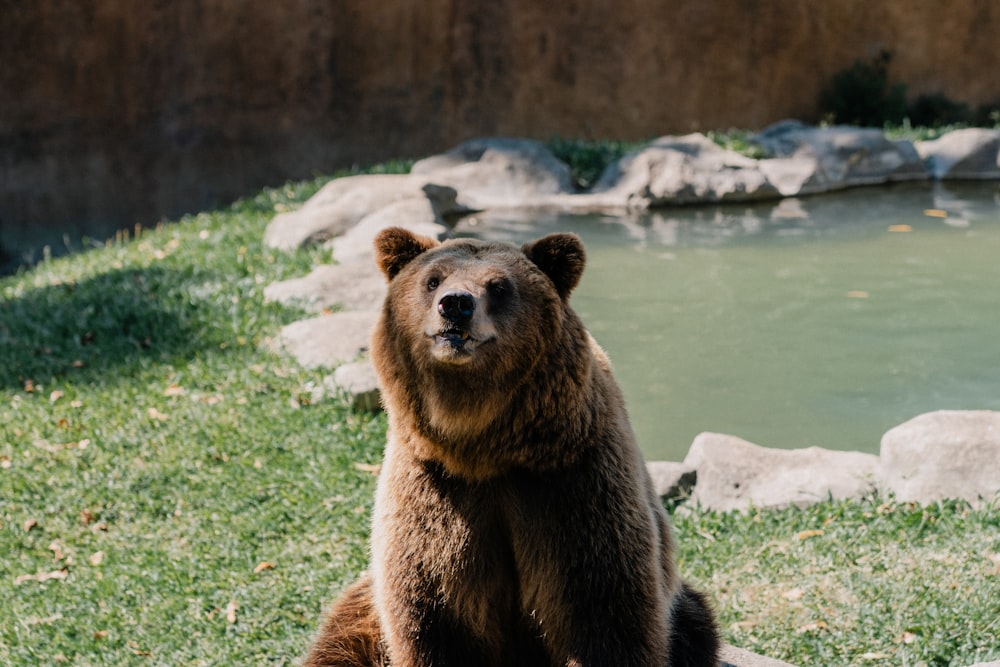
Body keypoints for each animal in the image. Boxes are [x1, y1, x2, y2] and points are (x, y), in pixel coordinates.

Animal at [304, 227, 720, 664]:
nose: (456, 305)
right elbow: (435, 611)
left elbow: (603, 612)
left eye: (499, 286)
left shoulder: (572, 483)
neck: (483, 446)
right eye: (433, 279)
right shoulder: (433, 493)